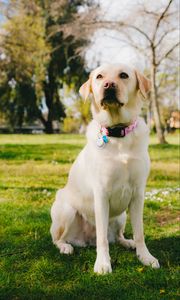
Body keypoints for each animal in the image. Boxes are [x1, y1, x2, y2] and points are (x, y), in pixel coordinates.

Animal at [50, 63, 160, 274]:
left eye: (123, 75)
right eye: (99, 77)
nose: (108, 85)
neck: (118, 133)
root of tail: (86, 240)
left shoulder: (138, 194)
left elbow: (140, 232)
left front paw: (145, 257)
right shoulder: (101, 194)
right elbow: (102, 239)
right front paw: (102, 263)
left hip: (121, 216)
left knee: (117, 236)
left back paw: (128, 242)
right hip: (66, 211)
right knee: (58, 239)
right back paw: (66, 247)